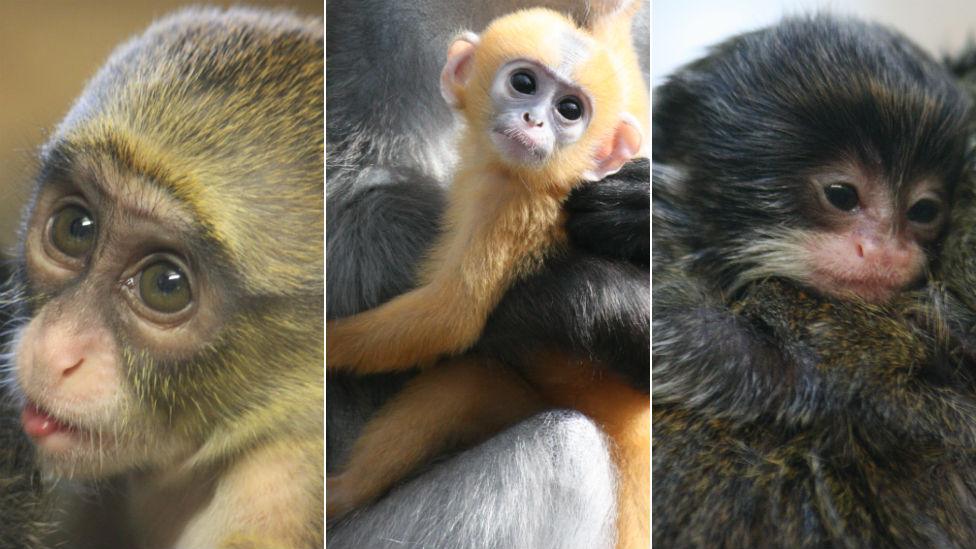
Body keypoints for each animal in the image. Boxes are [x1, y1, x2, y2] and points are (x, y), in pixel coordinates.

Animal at [328, 5, 648, 548]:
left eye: (570, 110)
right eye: (522, 83)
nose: (533, 120)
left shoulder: (507, 207)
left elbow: (450, 318)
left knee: (564, 450)